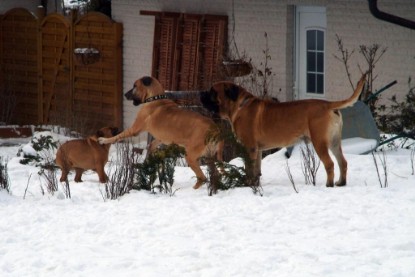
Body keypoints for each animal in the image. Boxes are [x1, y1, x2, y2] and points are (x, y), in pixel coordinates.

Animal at [202, 73, 368, 187]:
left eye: (213, 92)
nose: (200, 93)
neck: (239, 106)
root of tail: (328, 105)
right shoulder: (258, 150)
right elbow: (256, 170)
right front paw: (255, 184)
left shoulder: (249, 148)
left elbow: (249, 169)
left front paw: (248, 184)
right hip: (334, 142)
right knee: (342, 162)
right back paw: (341, 182)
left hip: (319, 142)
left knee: (330, 164)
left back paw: (329, 184)